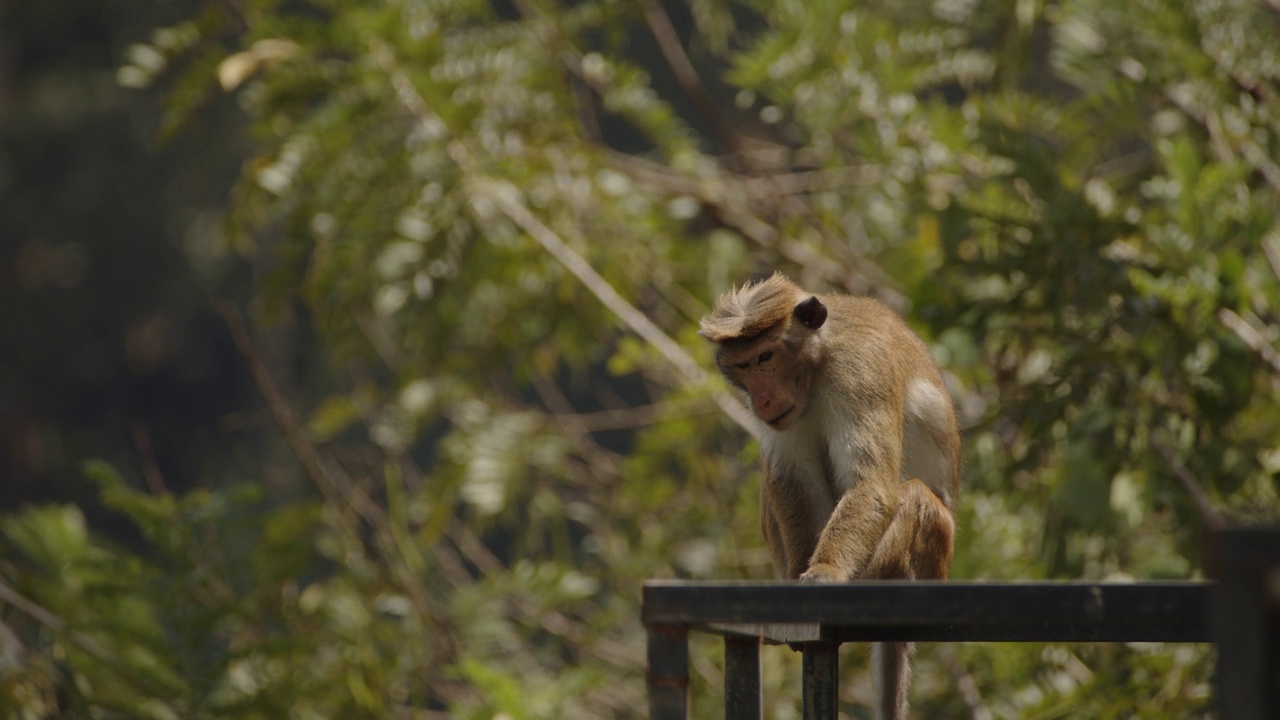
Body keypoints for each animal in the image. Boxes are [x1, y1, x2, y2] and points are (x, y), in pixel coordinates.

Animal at [701, 270, 962, 717]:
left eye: (765, 358)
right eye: (742, 366)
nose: (762, 398)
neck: (818, 364)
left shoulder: (860, 371)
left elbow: (872, 484)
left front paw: (825, 571)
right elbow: (792, 481)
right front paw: (799, 578)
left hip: (932, 562)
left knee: (913, 498)